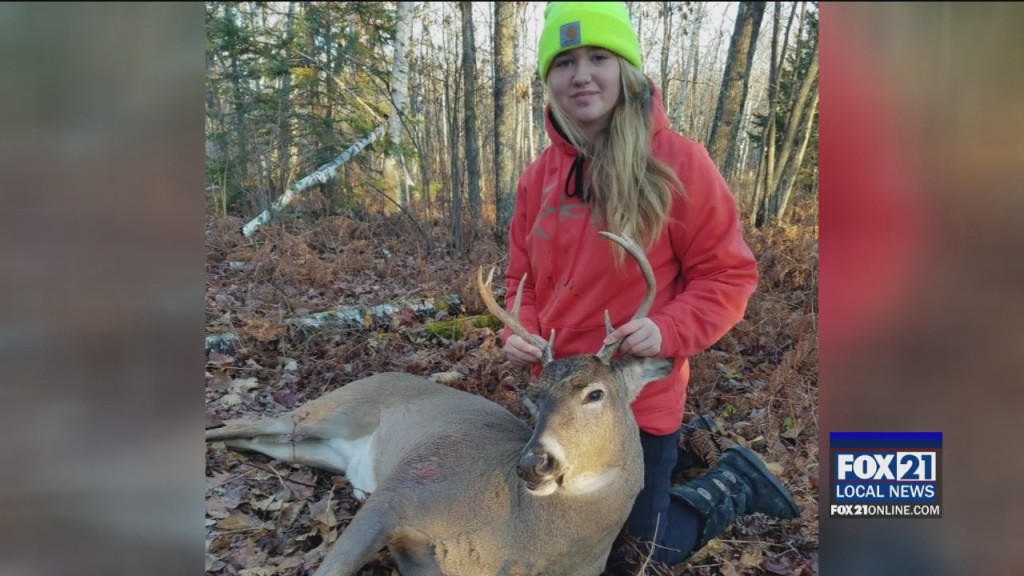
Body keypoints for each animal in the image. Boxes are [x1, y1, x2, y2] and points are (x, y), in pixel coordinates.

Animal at [205, 231, 673, 576]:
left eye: (595, 393)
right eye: (536, 398)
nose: (533, 463)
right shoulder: (401, 491)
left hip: (316, 450)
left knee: (259, 441)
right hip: (331, 411)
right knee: (245, 423)